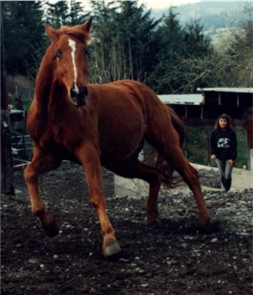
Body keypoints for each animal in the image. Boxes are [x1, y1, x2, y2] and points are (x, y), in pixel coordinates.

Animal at [23, 18, 211, 258]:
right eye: (58, 53)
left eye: (85, 51)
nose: (78, 93)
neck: (52, 111)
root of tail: (155, 99)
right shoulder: (49, 155)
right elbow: (29, 173)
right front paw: (50, 225)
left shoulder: (87, 152)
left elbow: (96, 194)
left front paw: (110, 241)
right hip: (122, 162)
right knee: (155, 175)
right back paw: (152, 217)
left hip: (166, 143)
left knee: (190, 175)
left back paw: (205, 220)